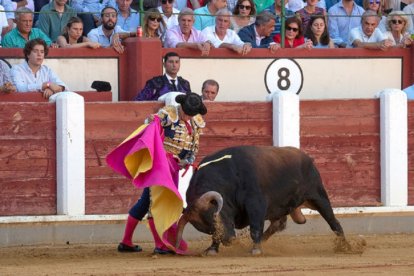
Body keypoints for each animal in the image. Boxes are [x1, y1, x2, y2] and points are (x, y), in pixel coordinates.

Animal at [175, 146, 350, 256]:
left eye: (215, 216)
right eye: (207, 228)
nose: (229, 240)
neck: (228, 176)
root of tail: (306, 157)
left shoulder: (256, 203)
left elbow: (255, 227)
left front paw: (256, 250)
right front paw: (212, 249)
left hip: (318, 196)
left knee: (333, 222)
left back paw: (345, 246)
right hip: (280, 207)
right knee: (278, 224)